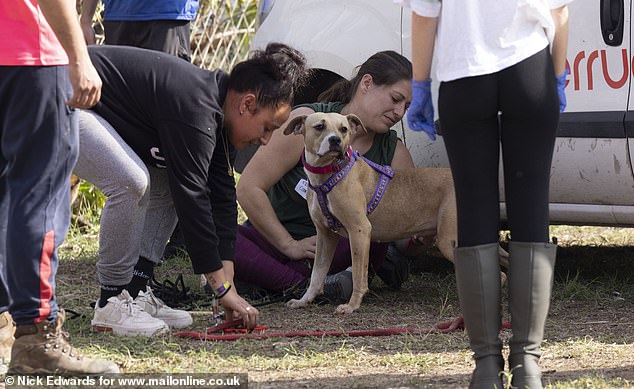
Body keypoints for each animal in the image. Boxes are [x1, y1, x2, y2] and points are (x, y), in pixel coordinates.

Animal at [284, 113, 506, 316]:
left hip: (450, 241)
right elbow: (317, 274)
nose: (336, 141)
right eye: (320, 126)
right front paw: (304, 301)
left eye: (343, 129)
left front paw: (352, 305)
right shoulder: (325, 236)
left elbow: (358, 274)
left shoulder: (359, 231)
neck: (329, 174)